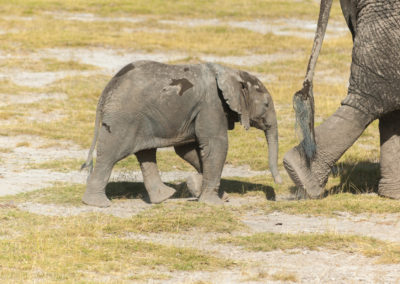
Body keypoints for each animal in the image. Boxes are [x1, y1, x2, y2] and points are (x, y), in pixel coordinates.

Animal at [81, 60, 282, 206]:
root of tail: (107, 89)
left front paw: (208, 191)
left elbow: (188, 150)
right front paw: (213, 203)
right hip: (124, 118)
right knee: (110, 154)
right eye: (266, 105)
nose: (279, 185)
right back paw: (98, 203)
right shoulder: (210, 105)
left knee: (145, 153)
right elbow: (216, 145)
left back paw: (163, 197)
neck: (231, 72)